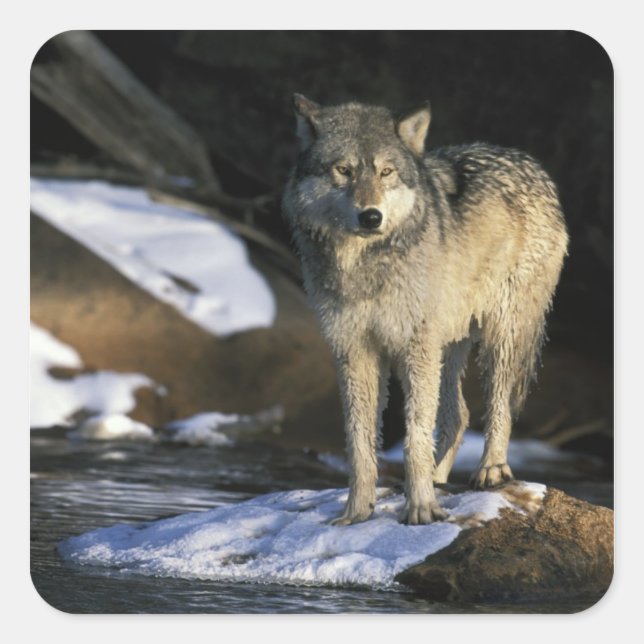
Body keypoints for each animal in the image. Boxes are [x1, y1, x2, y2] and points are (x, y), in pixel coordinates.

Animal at [282, 95, 568, 525]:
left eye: (386, 172)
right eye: (344, 171)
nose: (371, 216)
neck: (363, 266)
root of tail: (530, 163)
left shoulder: (414, 348)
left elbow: (414, 436)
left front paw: (420, 508)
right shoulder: (354, 351)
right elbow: (360, 445)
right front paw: (357, 511)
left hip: (498, 337)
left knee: (499, 407)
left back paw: (490, 470)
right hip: (447, 345)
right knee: (459, 415)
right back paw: (438, 478)